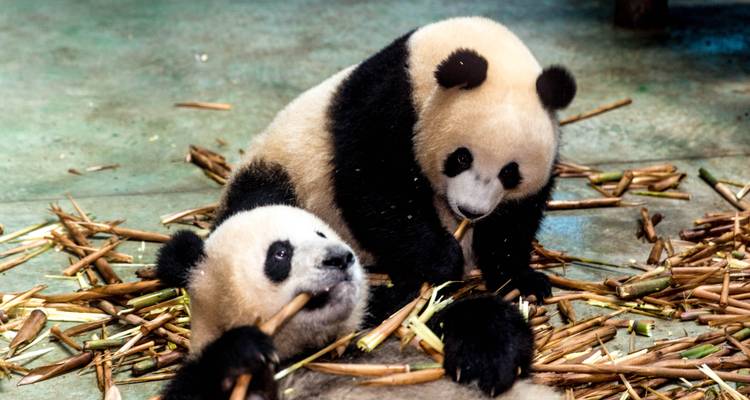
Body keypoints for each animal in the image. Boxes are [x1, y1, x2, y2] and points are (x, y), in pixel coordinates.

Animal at [156, 205, 562, 400]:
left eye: (323, 233)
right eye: (280, 253)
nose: (341, 258)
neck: (316, 351)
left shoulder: (381, 326)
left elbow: (460, 314)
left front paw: (485, 360)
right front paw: (242, 352)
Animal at [212, 16, 575, 397]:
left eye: (510, 173)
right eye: (461, 158)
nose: (470, 211)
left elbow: (514, 221)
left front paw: (521, 278)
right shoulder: (385, 104)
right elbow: (376, 187)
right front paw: (441, 259)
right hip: (283, 171)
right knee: (262, 201)